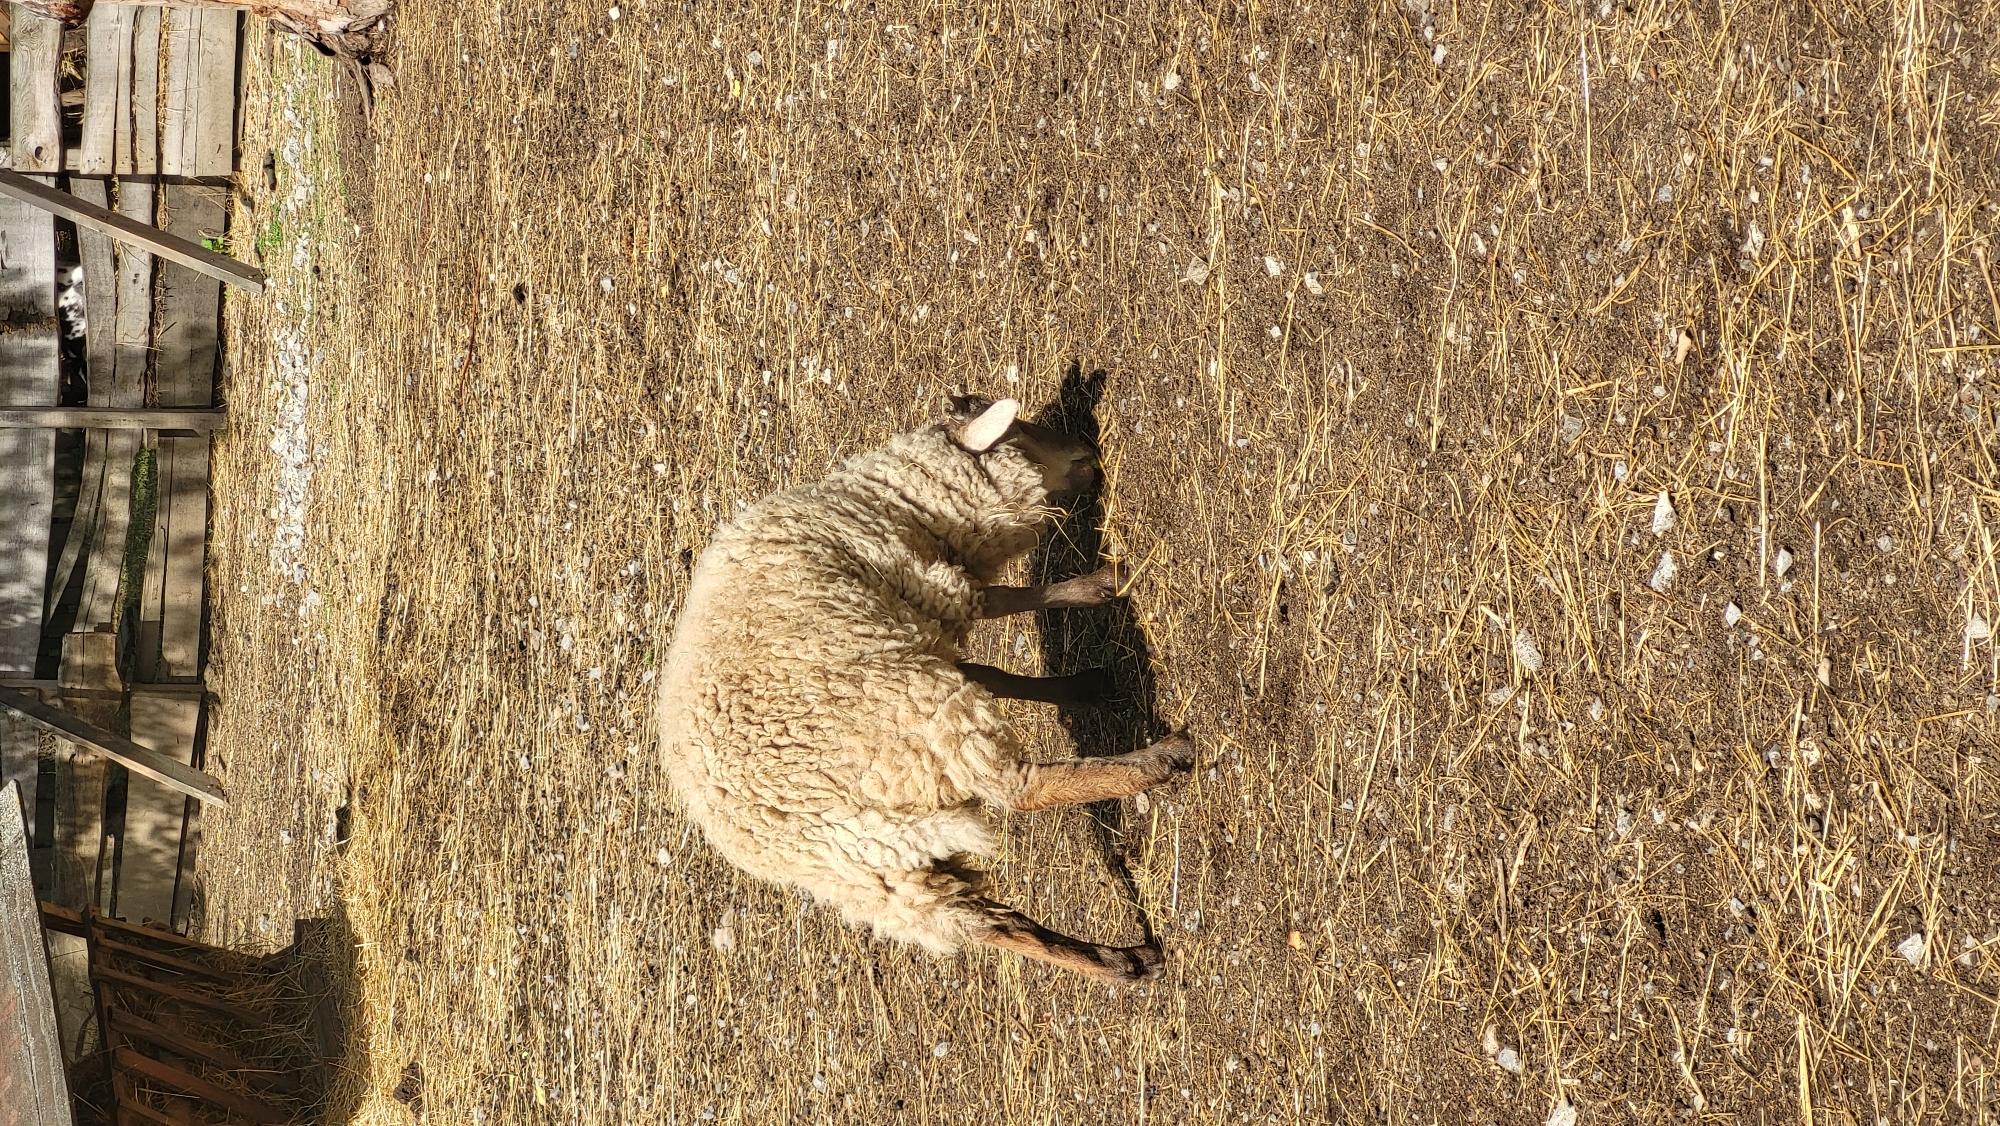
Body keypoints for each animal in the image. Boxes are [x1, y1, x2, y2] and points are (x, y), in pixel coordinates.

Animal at [657, 395, 1193, 982]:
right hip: (913, 724)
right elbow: (1005, 601)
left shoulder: (916, 621)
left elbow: (993, 670)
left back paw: (1123, 962)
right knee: (1018, 787)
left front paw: (1082, 685)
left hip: (886, 873)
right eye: (1022, 432)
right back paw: (1163, 759)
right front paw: (1098, 590)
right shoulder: (922, 598)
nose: (1087, 454)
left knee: (989, 924)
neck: (893, 507)